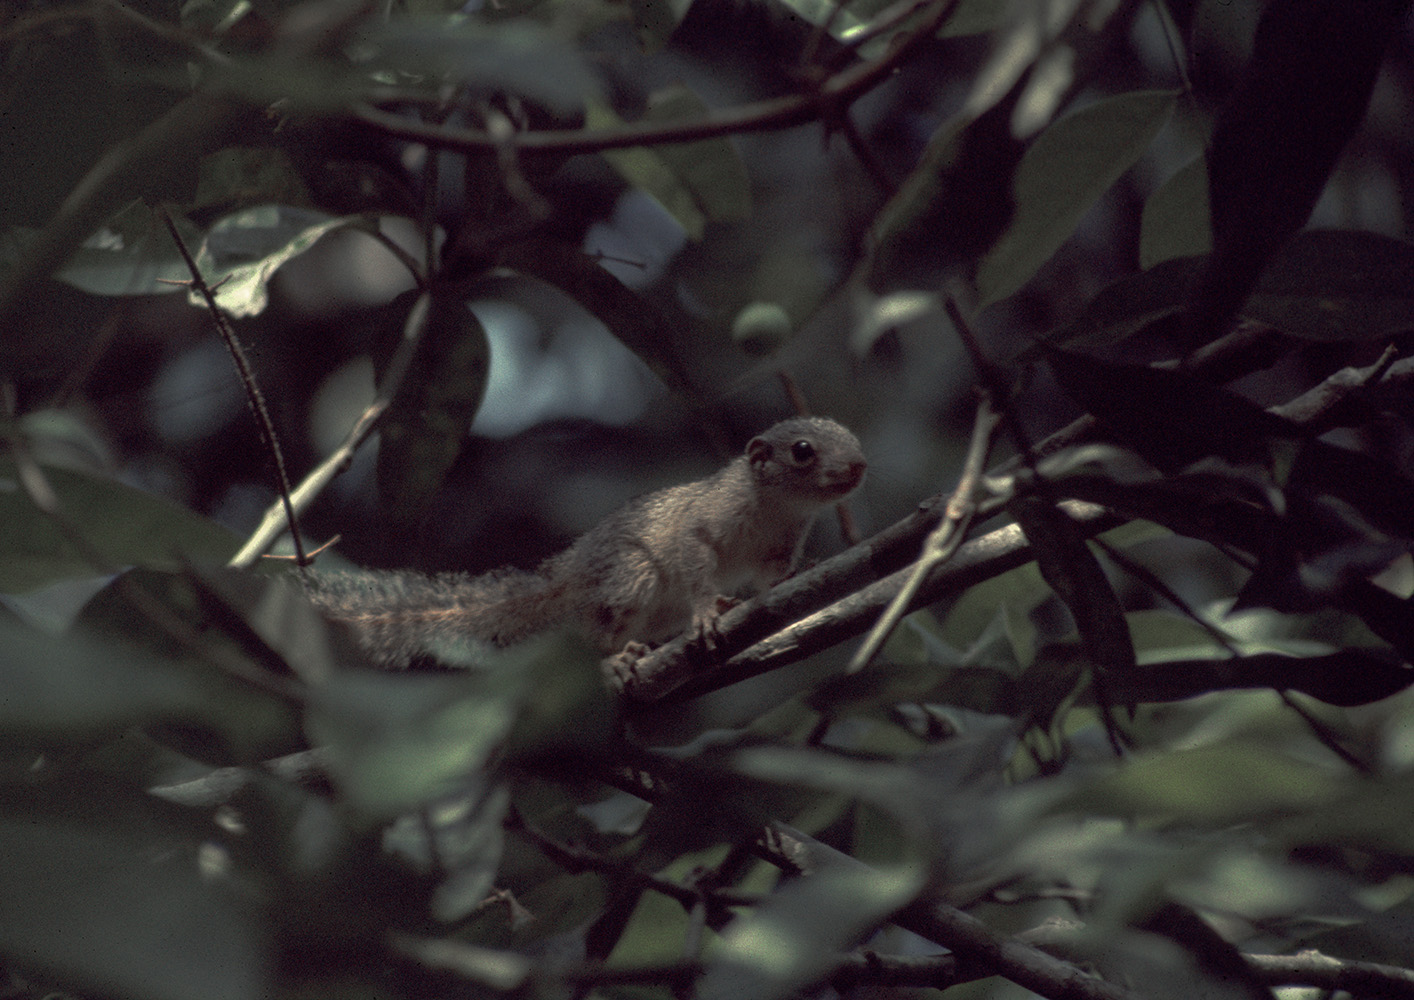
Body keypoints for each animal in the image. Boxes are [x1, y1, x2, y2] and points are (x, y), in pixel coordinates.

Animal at [306, 416, 867, 668]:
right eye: (802, 451)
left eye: (851, 434)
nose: (861, 465)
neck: (777, 506)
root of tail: (570, 579)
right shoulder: (707, 519)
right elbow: (695, 557)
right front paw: (709, 610)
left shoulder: (781, 543)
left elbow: (773, 577)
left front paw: (791, 580)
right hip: (631, 576)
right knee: (597, 634)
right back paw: (616, 660)